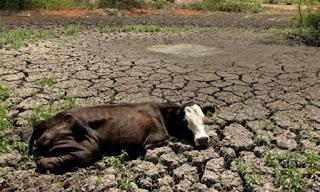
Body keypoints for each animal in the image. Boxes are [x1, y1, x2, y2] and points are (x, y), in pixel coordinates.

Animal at [28, 103, 211, 173]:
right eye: (185, 121)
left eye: (204, 118)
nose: (203, 139)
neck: (161, 113)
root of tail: (42, 124)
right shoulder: (155, 139)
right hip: (85, 146)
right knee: (43, 162)